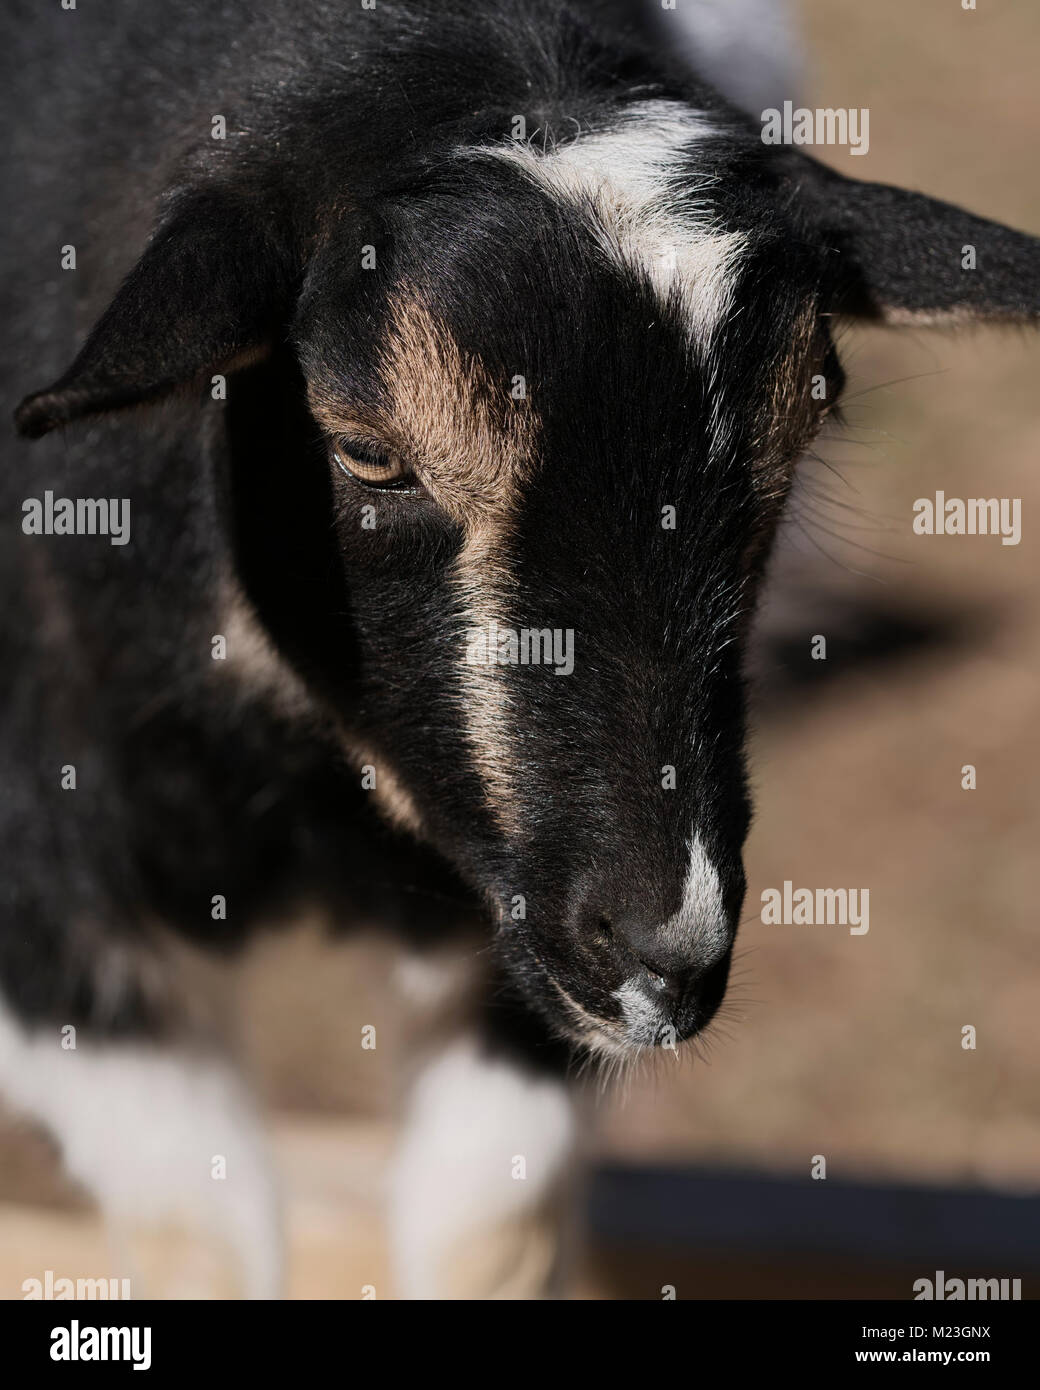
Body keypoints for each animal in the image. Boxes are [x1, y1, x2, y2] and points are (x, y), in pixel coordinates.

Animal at [2, 0, 1038, 1299]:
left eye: (808, 418)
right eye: (365, 450)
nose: (663, 952)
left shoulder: (519, 942)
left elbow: (487, 1229)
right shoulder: (51, 906)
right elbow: (198, 1240)